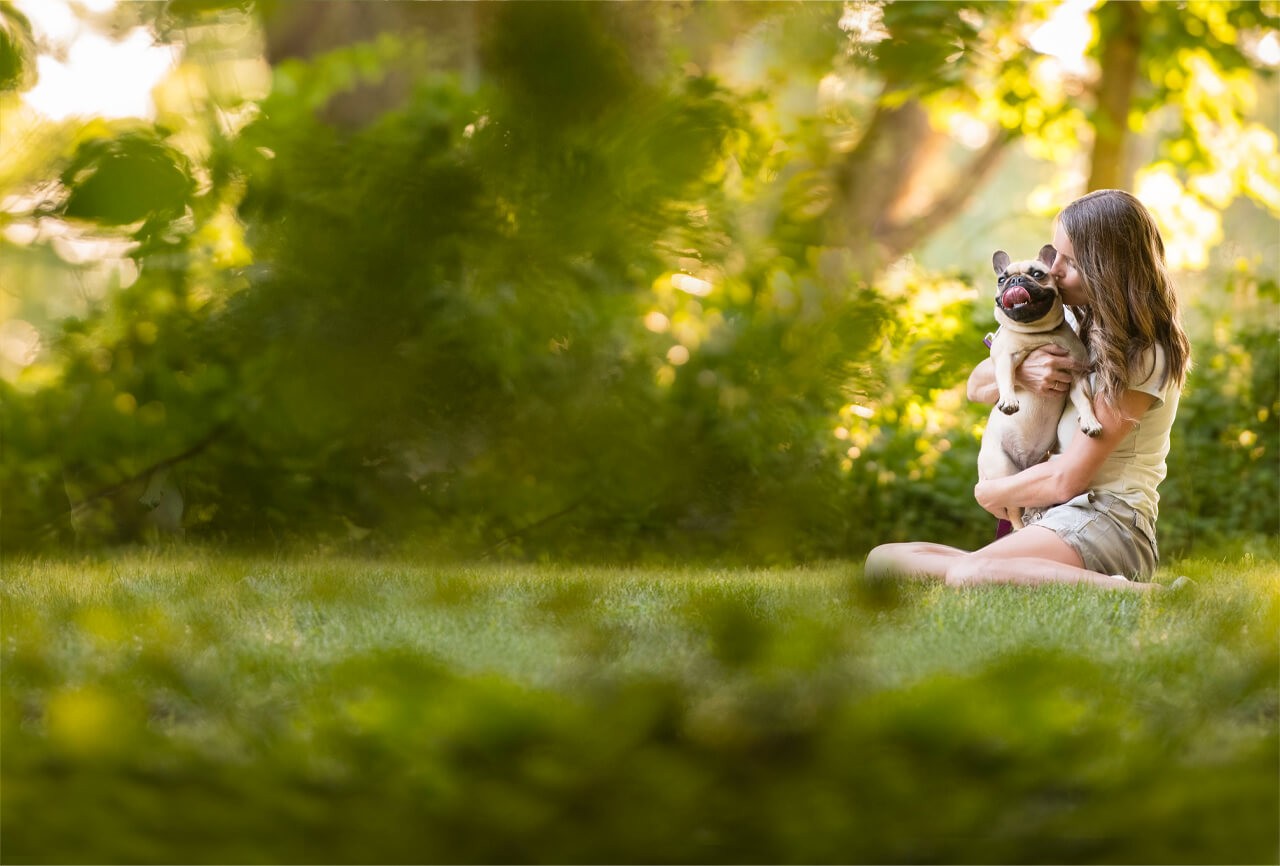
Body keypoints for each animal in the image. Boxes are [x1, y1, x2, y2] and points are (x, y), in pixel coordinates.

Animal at [977, 243, 1100, 527]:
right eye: (1001, 279)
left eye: (1037, 274)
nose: (1015, 281)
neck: (1040, 333)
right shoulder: (1004, 357)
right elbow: (1006, 378)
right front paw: (1009, 400)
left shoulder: (1076, 375)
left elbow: (1085, 401)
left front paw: (1090, 420)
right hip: (1003, 470)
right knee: (1013, 512)